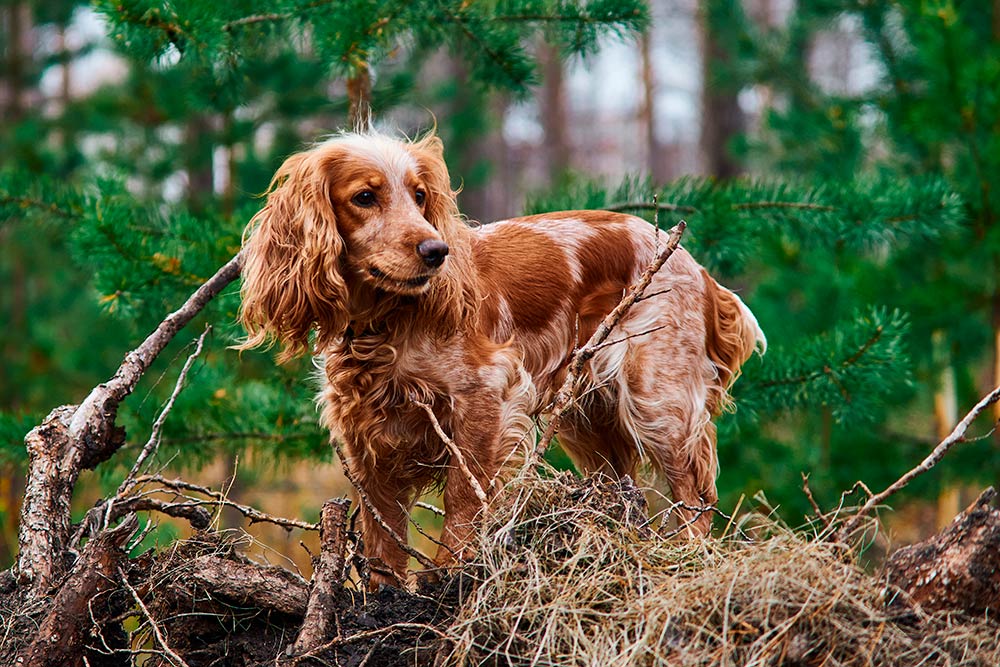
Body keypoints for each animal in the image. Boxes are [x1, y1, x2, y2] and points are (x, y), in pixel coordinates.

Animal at [236, 129, 764, 584]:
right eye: (365, 197)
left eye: (420, 196)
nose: (436, 250)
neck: (384, 323)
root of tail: (696, 266)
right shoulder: (367, 435)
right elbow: (381, 536)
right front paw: (382, 597)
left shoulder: (486, 395)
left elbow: (462, 497)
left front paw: (450, 574)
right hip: (589, 421)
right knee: (623, 490)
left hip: (655, 400)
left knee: (695, 494)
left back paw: (687, 558)